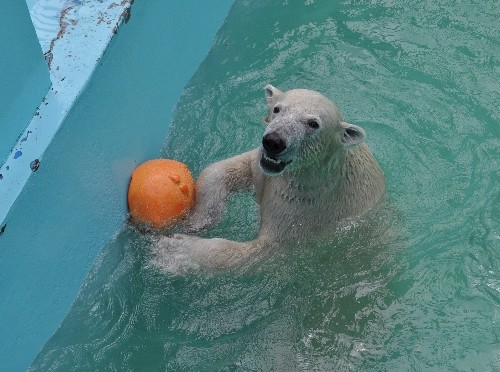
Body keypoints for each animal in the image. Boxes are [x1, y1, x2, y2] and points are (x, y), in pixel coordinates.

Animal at [154, 85, 384, 268]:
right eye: (277, 109)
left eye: (313, 124)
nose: (274, 141)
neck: (314, 173)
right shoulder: (264, 168)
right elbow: (231, 169)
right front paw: (199, 220)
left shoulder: (307, 209)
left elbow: (264, 248)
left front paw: (176, 249)